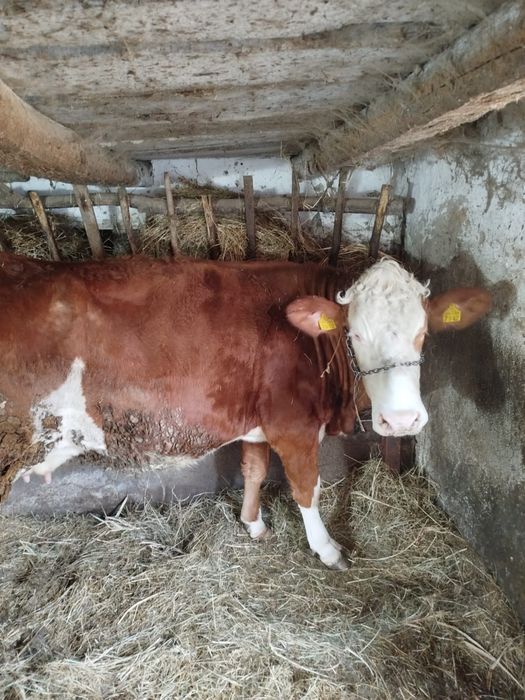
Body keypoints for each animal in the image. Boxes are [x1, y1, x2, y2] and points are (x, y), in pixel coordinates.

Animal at [0, 252, 490, 568]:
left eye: (423, 332)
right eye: (354, 334)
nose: (402, 420)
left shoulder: (258, 424)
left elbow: (253, 470)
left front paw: (253, 524)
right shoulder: (293, 425)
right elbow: (307, 488)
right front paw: (328, 550)